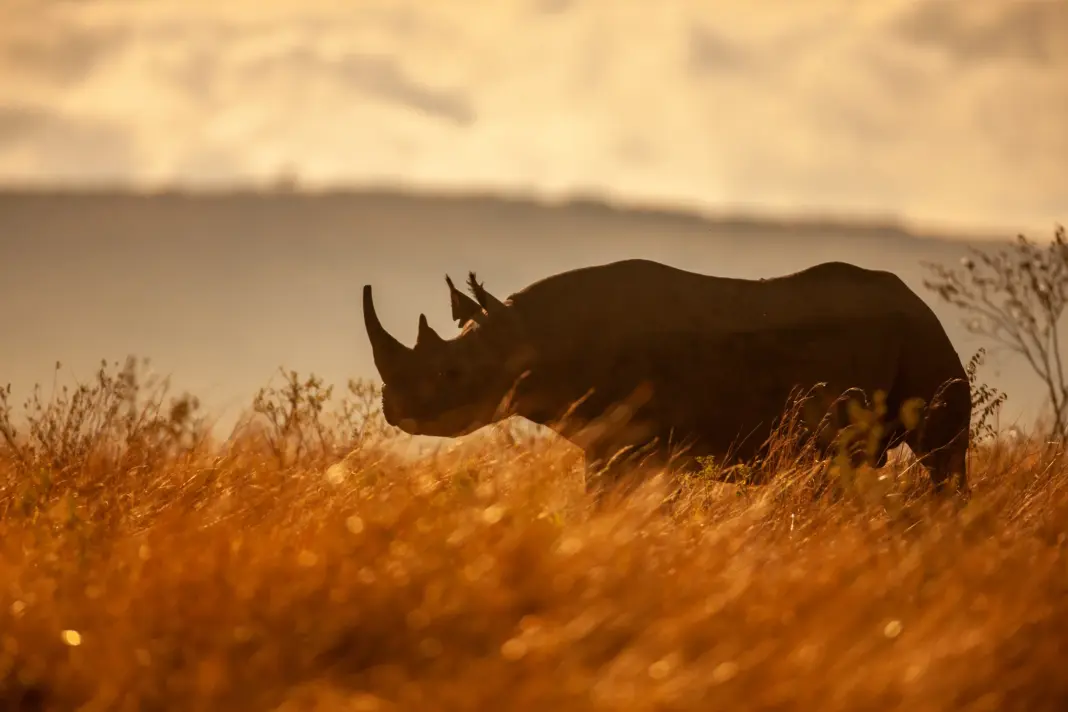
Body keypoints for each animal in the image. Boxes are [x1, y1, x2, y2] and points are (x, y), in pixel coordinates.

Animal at [362, 259, 972, 498]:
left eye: (452, 373)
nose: (396, 410)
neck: (529, 335)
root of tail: (921, 305)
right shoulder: (604, 442)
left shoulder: (640, 442)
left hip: (927, 339)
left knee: (942, 456)